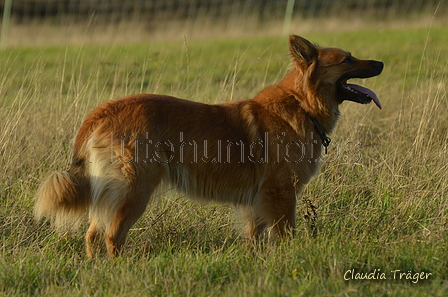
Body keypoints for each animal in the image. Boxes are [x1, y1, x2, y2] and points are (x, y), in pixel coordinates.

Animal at [35, 35, 384, 256]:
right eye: (347, 60)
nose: (381, 63)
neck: (302, 103)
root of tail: (106, 109)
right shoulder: (281, 194)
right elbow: (285, 234)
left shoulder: (257, 200)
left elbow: (255, 237)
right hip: (135, 190)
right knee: (112, 236)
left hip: (113, 191)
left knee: (93, 233)